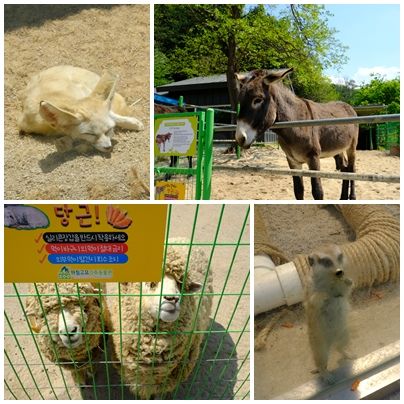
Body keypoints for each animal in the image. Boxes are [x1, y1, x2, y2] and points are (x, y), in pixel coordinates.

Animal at [304, 245, 352, 384]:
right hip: (319, 346)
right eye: (326, 261)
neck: (331, 280)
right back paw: (327, 376)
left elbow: (346, 291)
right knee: (321, 364)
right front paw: (325, 295)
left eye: (340, 257)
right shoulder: (310, 289)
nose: (340, 272)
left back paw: (348, 354)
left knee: (340, 347)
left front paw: (348, 281)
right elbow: (315, 299)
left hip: (344, 335)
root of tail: (332, 342)